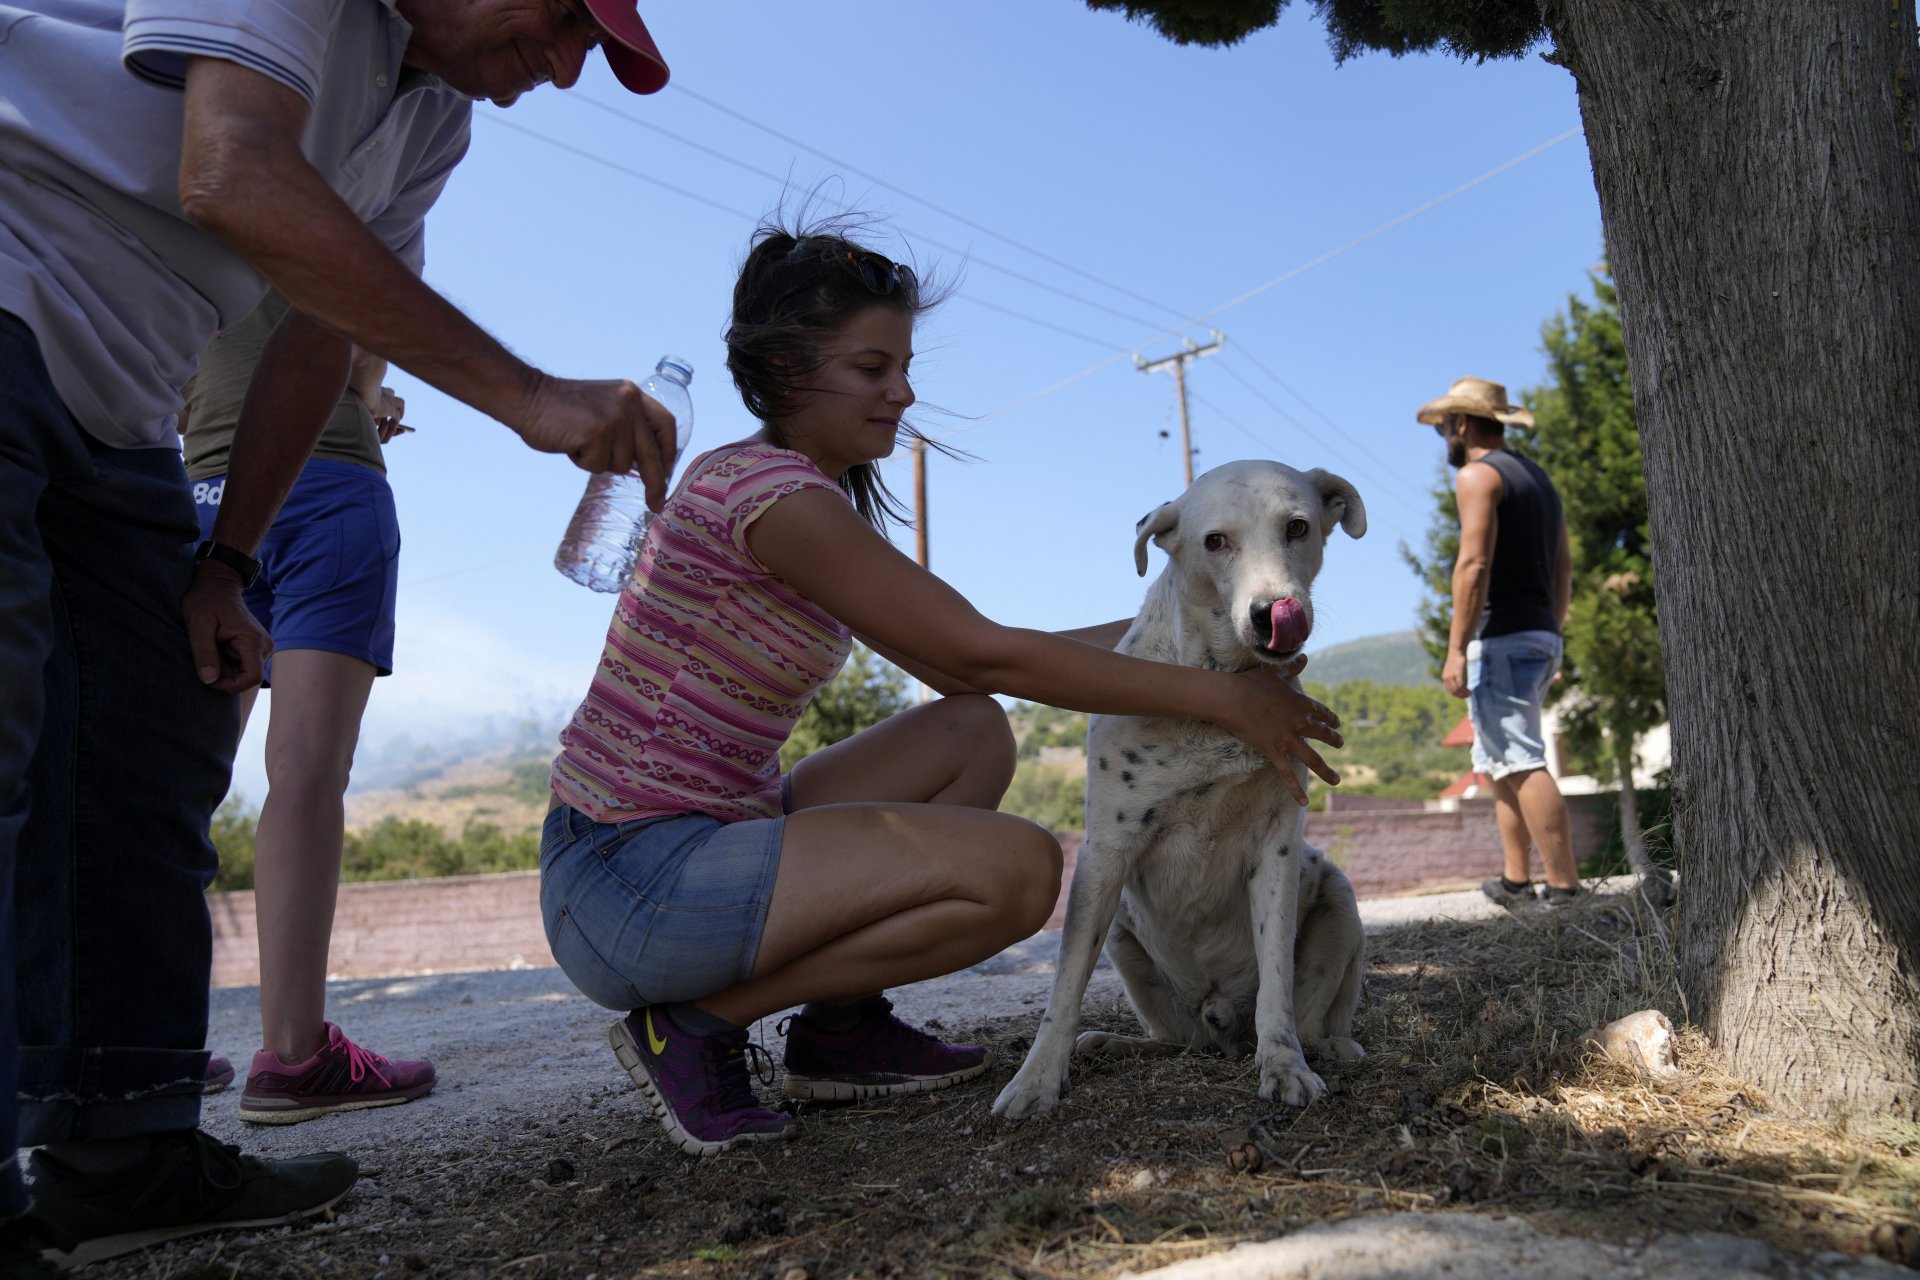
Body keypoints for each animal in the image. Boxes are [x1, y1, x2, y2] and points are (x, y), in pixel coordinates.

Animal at [998, 462, 1374, 1120]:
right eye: (1215, 541)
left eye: (1298, 527)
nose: (1273, 610)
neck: (1219, 692)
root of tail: (1220, 1018)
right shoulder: (1103, 856)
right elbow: (1065, 984)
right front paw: (1037, 1079)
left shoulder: (1277, 851)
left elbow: (1278, 983)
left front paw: (1284, 1067)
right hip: (1125, 933)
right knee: (1176, 1040)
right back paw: (1114, 1042)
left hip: (1339, 899)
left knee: (1308, 1016)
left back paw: (1327, 1047)